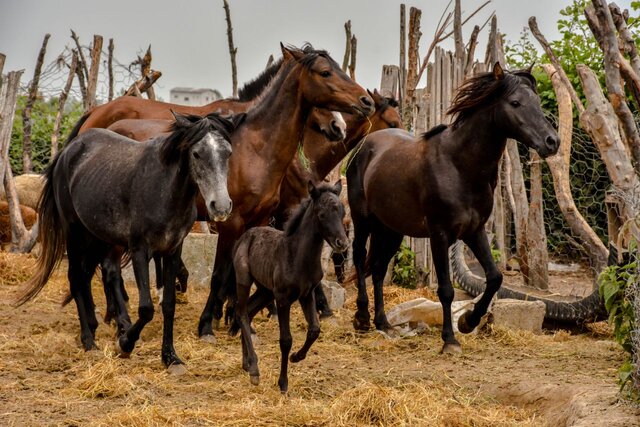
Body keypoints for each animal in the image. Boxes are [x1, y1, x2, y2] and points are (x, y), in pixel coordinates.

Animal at [15, 112, 241, 372]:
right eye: (196, 153)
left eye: (228, 153)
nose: (221, 207)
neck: (164, 190)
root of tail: (68, 151)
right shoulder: (140, 250)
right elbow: (146, 308)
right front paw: (125, 343)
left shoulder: (172, 250)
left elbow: (168, 304)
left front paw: (170, 357)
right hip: (74, 234)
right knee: (76, 278)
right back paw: (89, 341)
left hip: (97, 237)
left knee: (90, 275)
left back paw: (95, 326)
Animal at [230, 181, 348, 394]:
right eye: (321, 214)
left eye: (342, 211)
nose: (342, 243)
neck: (298, 256)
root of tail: (243, 237)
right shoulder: (283, 298)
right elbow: (285, 340)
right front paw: (283, 383)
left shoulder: (307, 294)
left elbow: (314, 330)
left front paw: (296, 357)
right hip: (244, 281)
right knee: (241, 313)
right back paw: (254, 369)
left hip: (265, 291)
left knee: (248, 312)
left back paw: (247, 363)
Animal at [344, 61, 560, 352]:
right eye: (515, 102)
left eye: (536, 101)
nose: (552, 142)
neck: (459, 166)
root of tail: (365, 145)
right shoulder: (440, 234)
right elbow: (446, 289)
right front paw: (449, 339)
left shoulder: (474, 231)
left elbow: (495, 277)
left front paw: (468, 321)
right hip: (363, 220)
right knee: (359, 257)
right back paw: (362, 318)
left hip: (391, 229)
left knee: (378, 268)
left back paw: (384, 324)